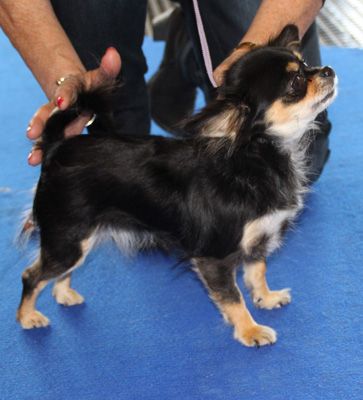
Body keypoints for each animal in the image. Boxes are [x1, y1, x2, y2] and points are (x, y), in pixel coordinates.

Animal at [17, 25, 338, 346]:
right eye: (297, 82)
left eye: (306, 62)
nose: (328, 70)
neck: (256, 156)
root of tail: (57, 147)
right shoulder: (214, 257)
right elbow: (233, 297)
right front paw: (250, 330)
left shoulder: (258, 237)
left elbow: (257, 271)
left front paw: (266, 298)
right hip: (68, 240)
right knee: (31, 276)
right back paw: (27, 317)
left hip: (77, 239)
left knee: (58, 273)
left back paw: (64, 294)